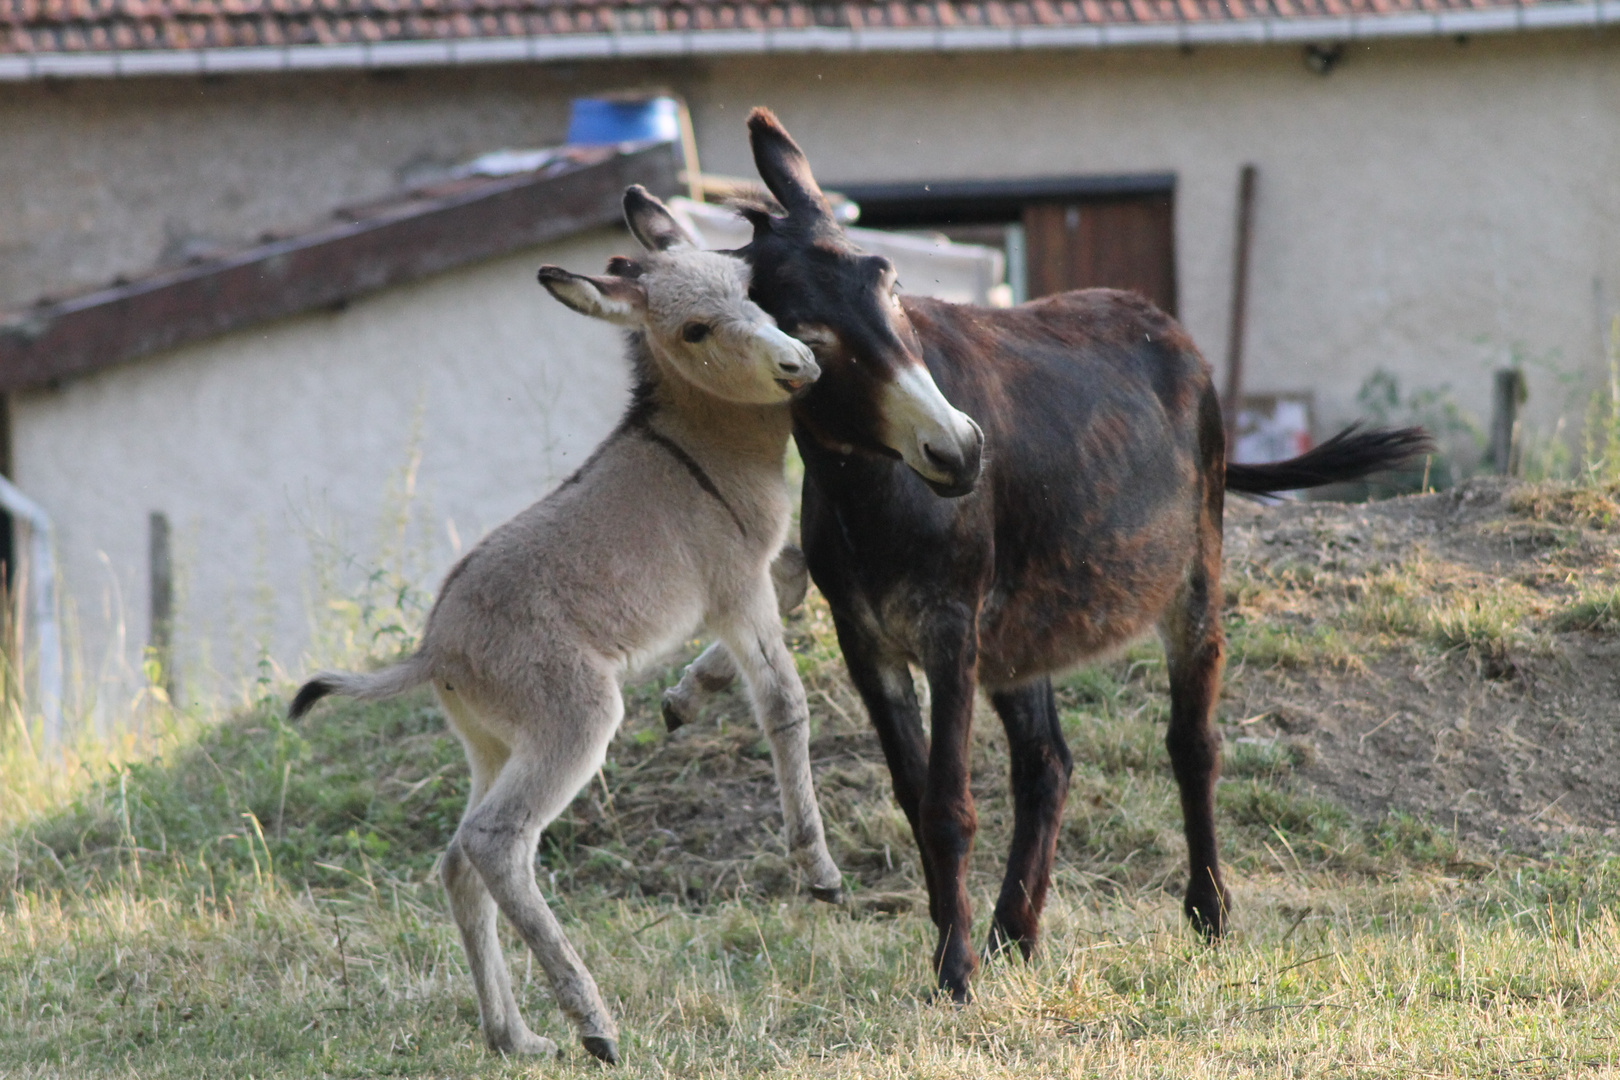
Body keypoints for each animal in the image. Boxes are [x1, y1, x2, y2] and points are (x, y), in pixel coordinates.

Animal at [291, 186, 842, 1062]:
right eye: (694, 330)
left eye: (748, 292)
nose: (801, 365)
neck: (701, 451)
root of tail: (433, 648)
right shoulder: (735, 591)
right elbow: (786, 706)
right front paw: (817, 870)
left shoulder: (756, 581)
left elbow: (795, 582)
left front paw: (687, 698)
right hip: (572, 719)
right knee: (496, 843)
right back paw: (593, 1025)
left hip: (493, 744)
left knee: (459, 860)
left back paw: (514, 1037)